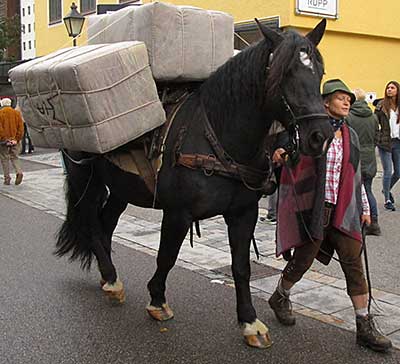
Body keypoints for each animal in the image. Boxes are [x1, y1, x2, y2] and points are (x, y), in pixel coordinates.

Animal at [55, 20, 332, 350]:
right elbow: (167, 256)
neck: (219, 136)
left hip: (121, 188)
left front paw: (249, 322)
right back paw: (111, 280)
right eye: (284, 72)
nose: (320, 135)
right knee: (91, 222)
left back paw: (106, 274)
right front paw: (157, 301)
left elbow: (241, 267)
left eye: (319, 71)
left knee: (106, 222)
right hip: (85, 178)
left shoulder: (243, 213)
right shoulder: (178, 214)